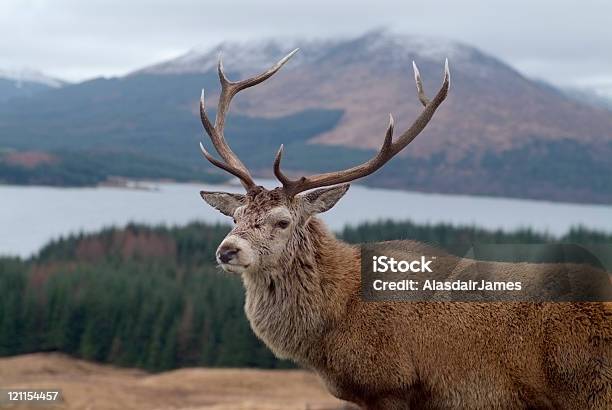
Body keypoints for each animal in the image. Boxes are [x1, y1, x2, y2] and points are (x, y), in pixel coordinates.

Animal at [196, 49, 612, 408]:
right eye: (235, 217)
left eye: (282, 221)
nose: (227, 250)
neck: (332, 326)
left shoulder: (391, 386)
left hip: (591, 390)